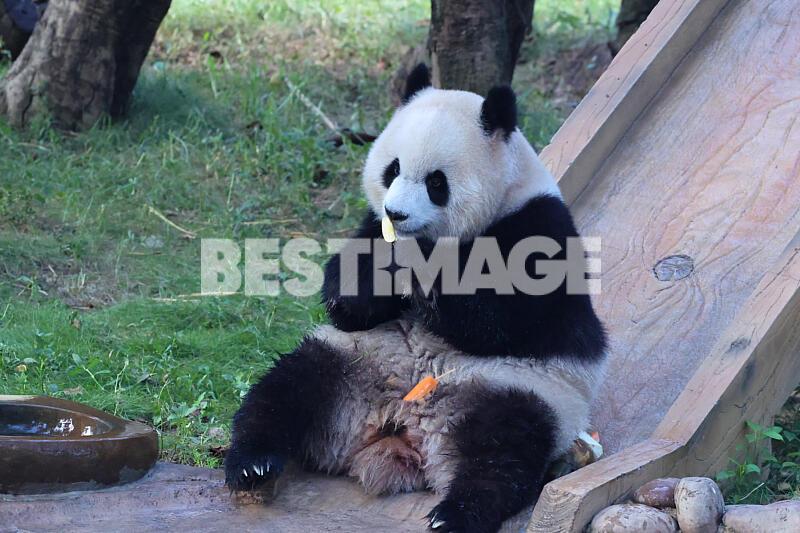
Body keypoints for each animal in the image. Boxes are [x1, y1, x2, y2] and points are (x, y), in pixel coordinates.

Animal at [225, 64, 607, 533]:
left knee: (504, 450)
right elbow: (346, 297)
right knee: (286, 390)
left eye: (436, 182)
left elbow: (505, 320)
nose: (397, 213)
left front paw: (421, 277)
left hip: (525, 389)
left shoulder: (538, 228)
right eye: (392, 169)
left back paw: (456, 514)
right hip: (349, 361)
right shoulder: (369, 228)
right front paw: (376, 277)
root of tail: (400, 428)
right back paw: (252, 464)